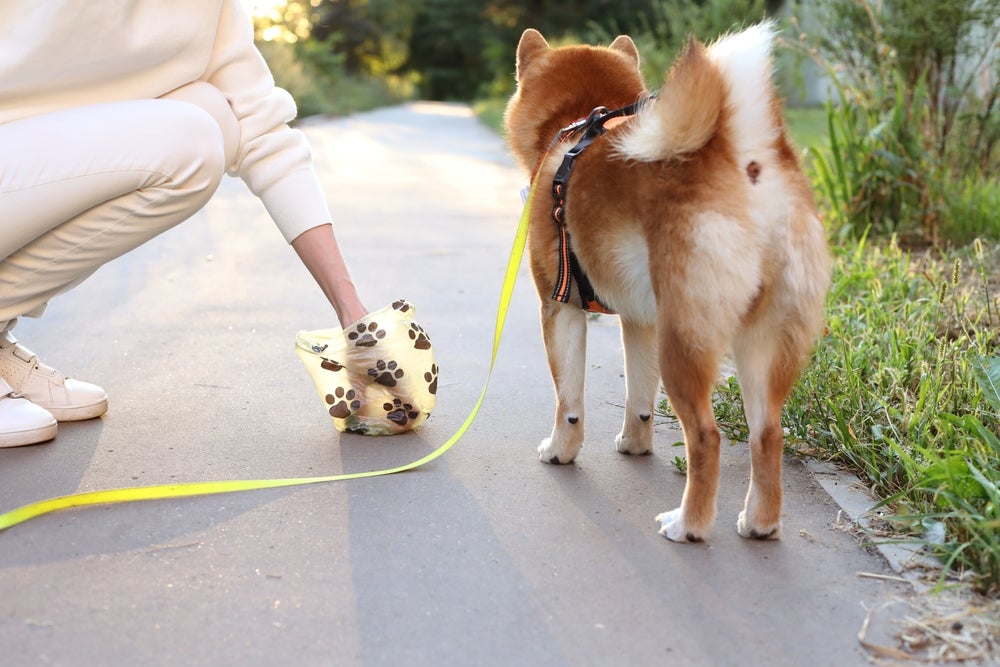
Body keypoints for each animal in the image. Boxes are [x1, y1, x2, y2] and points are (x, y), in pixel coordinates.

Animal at [504, 23, 832, 544]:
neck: (580, 124)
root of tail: (743, 162)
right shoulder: (640, 320)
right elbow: (640, 399)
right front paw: (635, 443)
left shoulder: (560, 309)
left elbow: (568, 400)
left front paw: (561, 450)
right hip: (760, 344)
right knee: (767, 434)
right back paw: (758, 523)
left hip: (685, 342)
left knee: (706, 437)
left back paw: (688, 524)